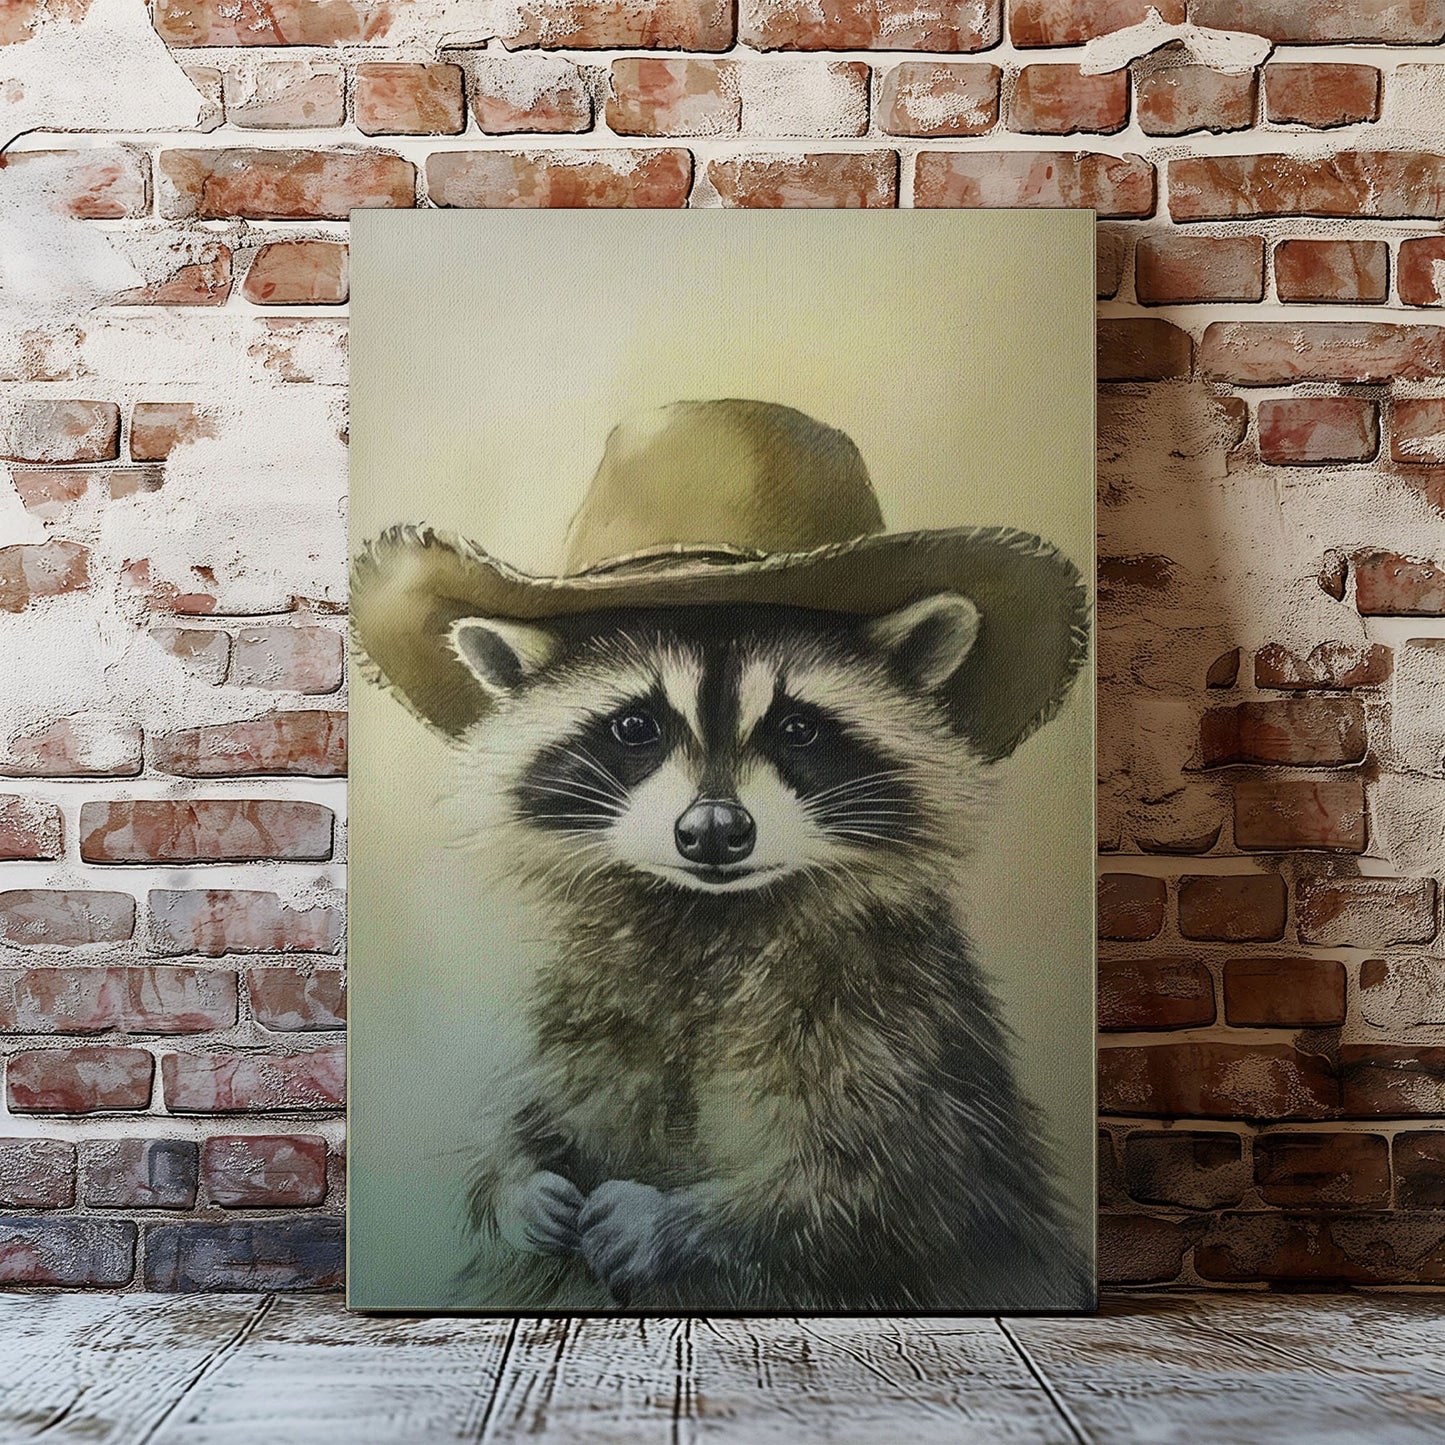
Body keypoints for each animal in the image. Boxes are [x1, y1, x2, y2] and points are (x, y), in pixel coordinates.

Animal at [448, 594, 1091, 1312]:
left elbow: (888, 1186)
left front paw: (676, 1221)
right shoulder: (572, 991)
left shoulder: (898, 1018)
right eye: (635, 726)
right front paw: (511, 1178)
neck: (707, 913)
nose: (713, 829)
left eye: (798, 728)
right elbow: (519, 1104)